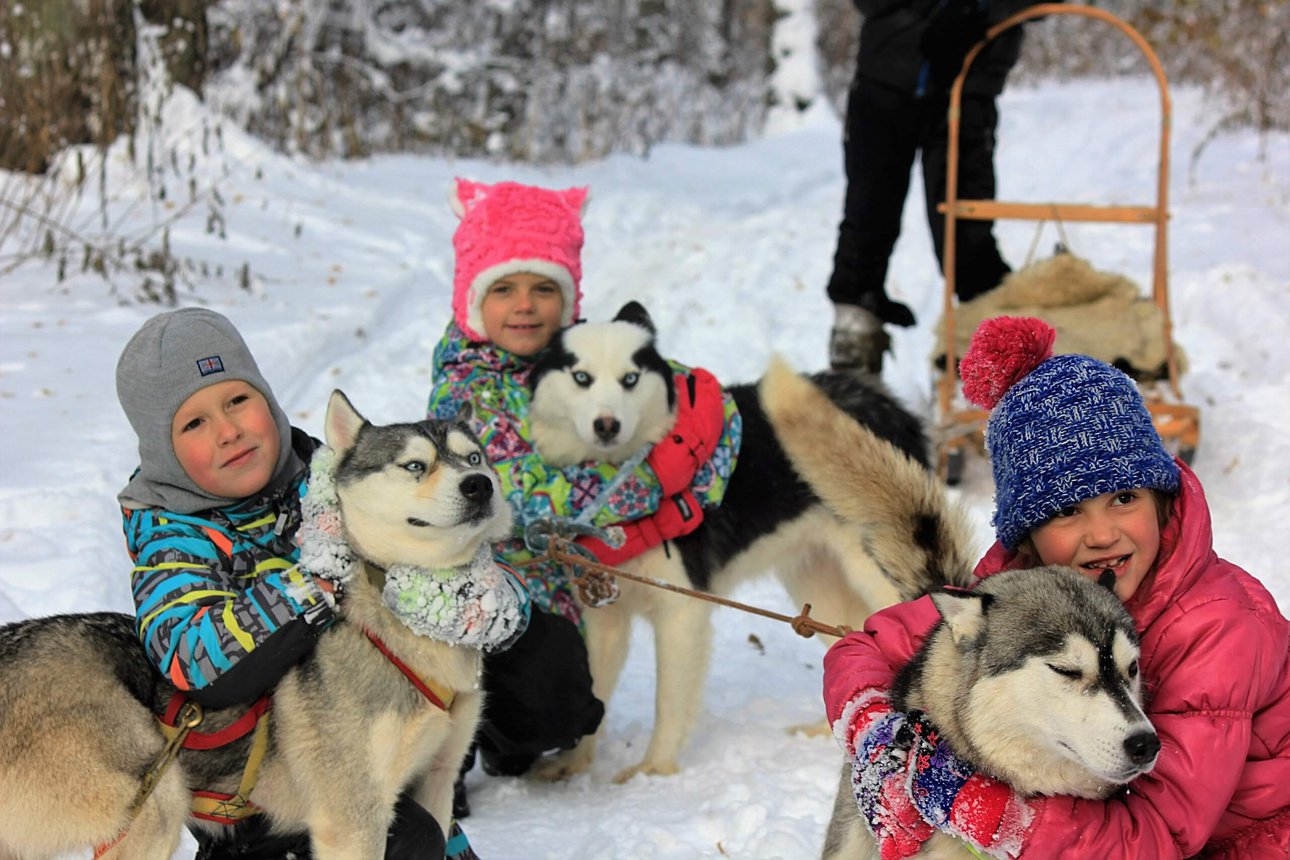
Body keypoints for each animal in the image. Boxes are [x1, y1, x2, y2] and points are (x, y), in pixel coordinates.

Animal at [0, 394, 513, 856]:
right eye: (414, 465)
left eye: (474, 457)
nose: (479, 484)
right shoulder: (353, 819)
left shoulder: (437, 780)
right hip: (154, 802)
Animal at [523, 304, 970, 789]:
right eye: (581, 377)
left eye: (630, 378)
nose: (607, 425)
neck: (619, 494)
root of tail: (880, 399)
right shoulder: (605, 618)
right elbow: (594, 694)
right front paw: (574, 763)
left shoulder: (682, 609)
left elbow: (668, 702)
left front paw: (653, 770)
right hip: (817, 581)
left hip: (877, 570)